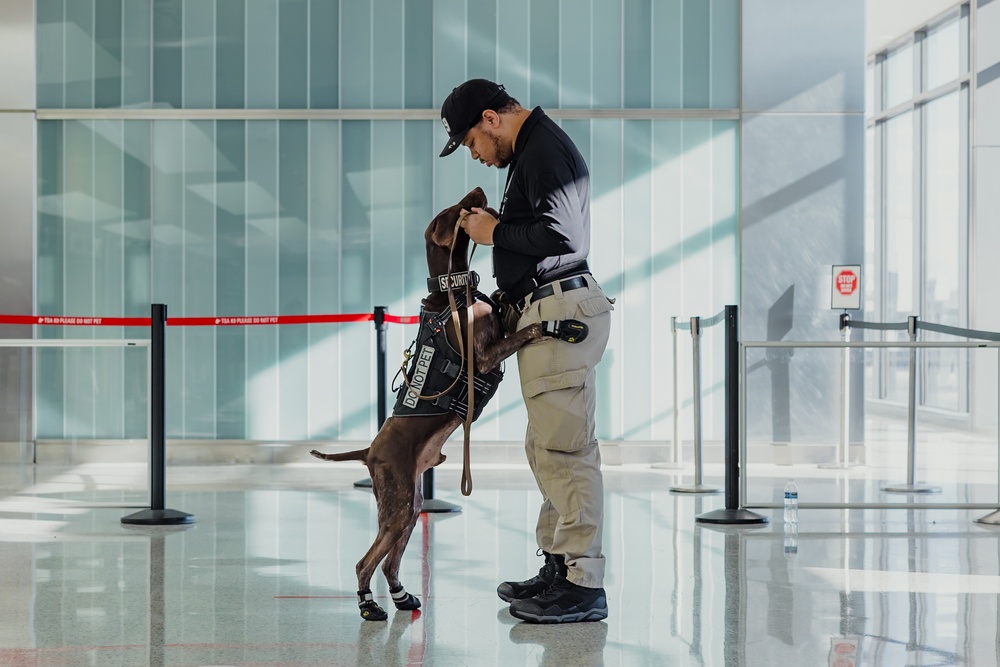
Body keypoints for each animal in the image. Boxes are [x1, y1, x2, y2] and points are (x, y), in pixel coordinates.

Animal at [310, 187, 584, 620]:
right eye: (454, 209)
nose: (479, 190)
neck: (451, 291)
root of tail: (368, 450)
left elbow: (507, 304)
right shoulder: (485, 357)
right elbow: (527, 329)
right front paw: (553, 325)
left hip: (410, 506)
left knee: (389, 563)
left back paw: (402, 596)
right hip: (398, 505)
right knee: (365, 562)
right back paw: (368, 604)